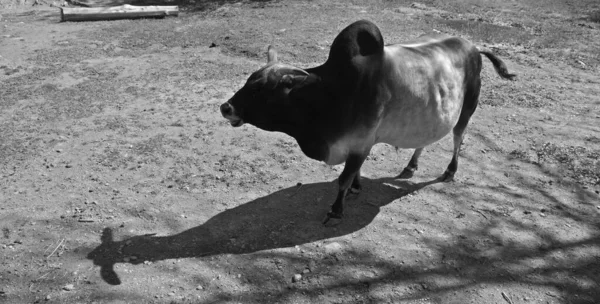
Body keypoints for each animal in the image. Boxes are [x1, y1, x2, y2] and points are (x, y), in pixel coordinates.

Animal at [220, 20, 516, 224]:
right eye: (249, 80)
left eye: (260, 89)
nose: (226, 107)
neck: (330, 94)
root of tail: (473, 47)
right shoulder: (358, 144)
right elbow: (353, 175)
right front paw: (357, 188)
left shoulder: (361, 143)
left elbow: (343, 178)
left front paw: (336, 210)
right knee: (425, 140)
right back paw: (411, 165)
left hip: (467, 109)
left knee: (458, 138)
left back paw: (450, 171)